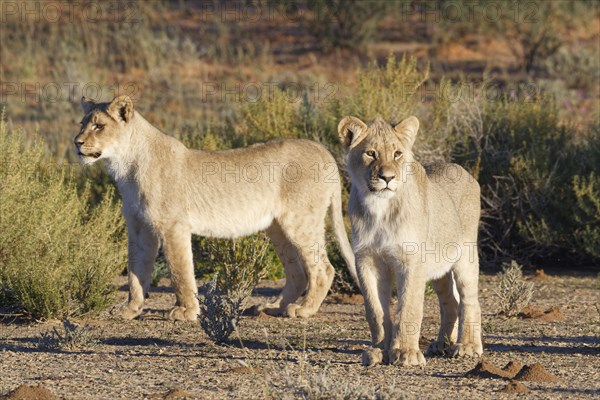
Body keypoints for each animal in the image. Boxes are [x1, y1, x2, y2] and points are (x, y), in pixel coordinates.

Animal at [74, 94, 356, 322]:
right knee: (297, 271)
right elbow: (136, 271)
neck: (125, 166)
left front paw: (187, 311)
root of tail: (323, 151)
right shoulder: (139, 228)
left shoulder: (173, 226)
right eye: (82, 124)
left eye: (99, 126)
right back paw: (273, 307)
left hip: (300, 221)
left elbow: (180, 271)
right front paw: (130, 309)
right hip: (277, 227)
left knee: (323, 269)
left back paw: (303, 310)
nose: (77, 142)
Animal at [338, 115, 482, 366]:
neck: (379, 208)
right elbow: (375, 310)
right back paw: (442, 344)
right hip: (439, 268)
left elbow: (408, 307)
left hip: (466, 255)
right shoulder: (367, 260)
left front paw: (406, 353)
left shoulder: (412, 261)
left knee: (470, 301)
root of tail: (460, 169)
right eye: (371, 153)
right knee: (451, 303)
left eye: (397, 153)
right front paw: (379, 351)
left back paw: (467, 347)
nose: (387, 177)